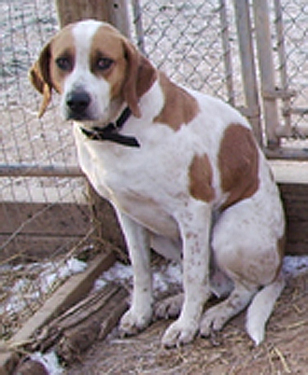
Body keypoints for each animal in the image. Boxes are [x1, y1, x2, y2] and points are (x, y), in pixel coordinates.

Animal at [30, 19, 286, 350]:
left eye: (104, 62)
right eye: (62, 62)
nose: (77, 101)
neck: (120, 131)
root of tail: (278, 266)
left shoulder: (193, 209)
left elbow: (192, 277)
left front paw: (186, 326)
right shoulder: (126, 212)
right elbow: (141, 271)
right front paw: (141, 313)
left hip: (228, 231)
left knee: (242, 290)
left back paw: (212, 315)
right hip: (160, 236)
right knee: (214, 284)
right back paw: (178, 303)